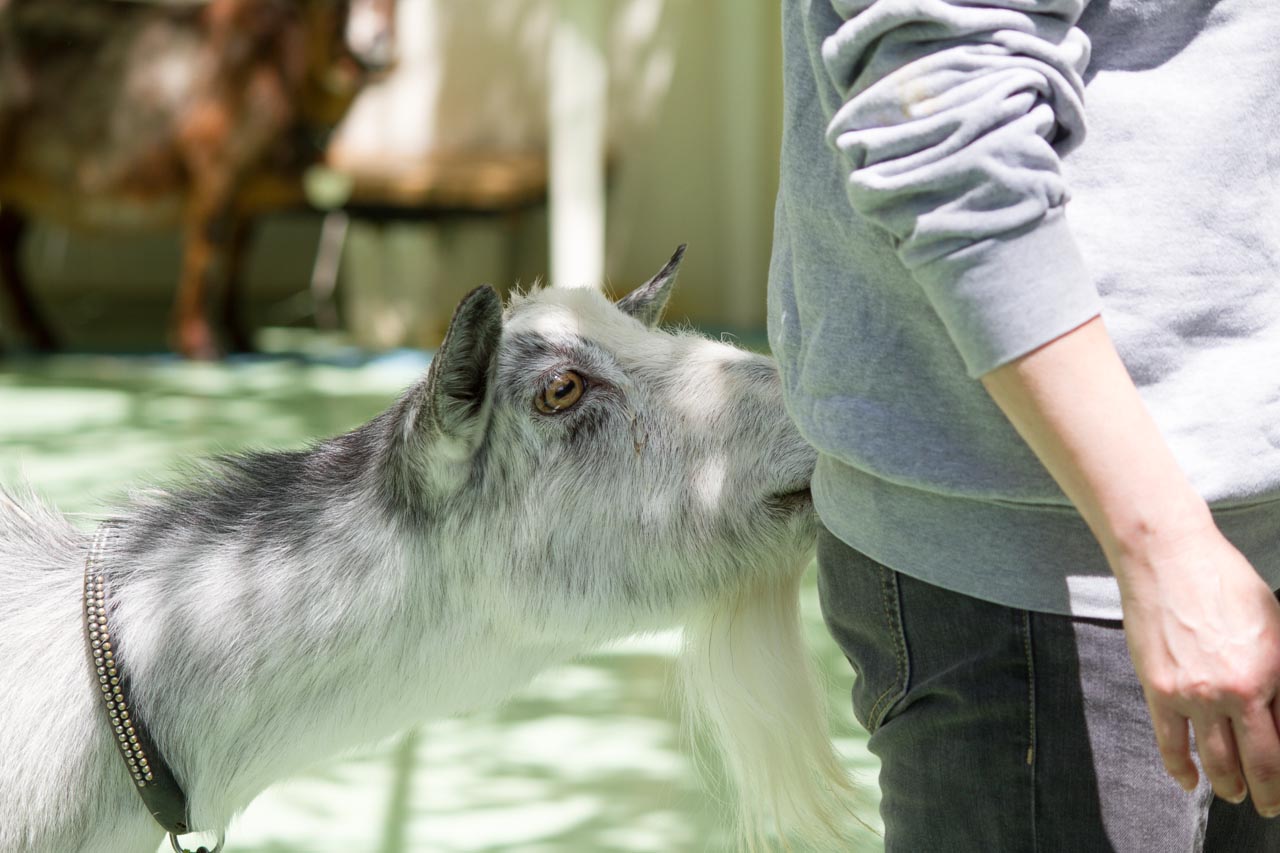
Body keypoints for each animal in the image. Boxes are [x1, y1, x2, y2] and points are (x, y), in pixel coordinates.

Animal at [0, 0, 394, 356]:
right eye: (336, 6)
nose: (379, 40)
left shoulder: (248, 197)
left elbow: (238, 258)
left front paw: (241, 337)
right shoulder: (217, 166)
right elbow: (207, 248)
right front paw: (199, 343)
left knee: (10, 248)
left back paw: (41, 334)